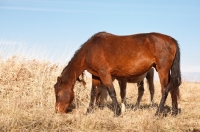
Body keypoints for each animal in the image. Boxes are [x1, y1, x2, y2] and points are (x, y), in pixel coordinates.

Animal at [53, 31, 181, 116]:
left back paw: (158, 113)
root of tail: (171, 39)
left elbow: (112, 92)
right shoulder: (96, 75)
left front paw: (117, 112)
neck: (90, 50)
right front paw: (89, 111)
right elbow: (93, 92)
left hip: (162, 70)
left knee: (165, 89)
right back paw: (174, 112)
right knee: (172, 87)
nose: (57, 111)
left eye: (58, 94)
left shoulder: (104, 73)